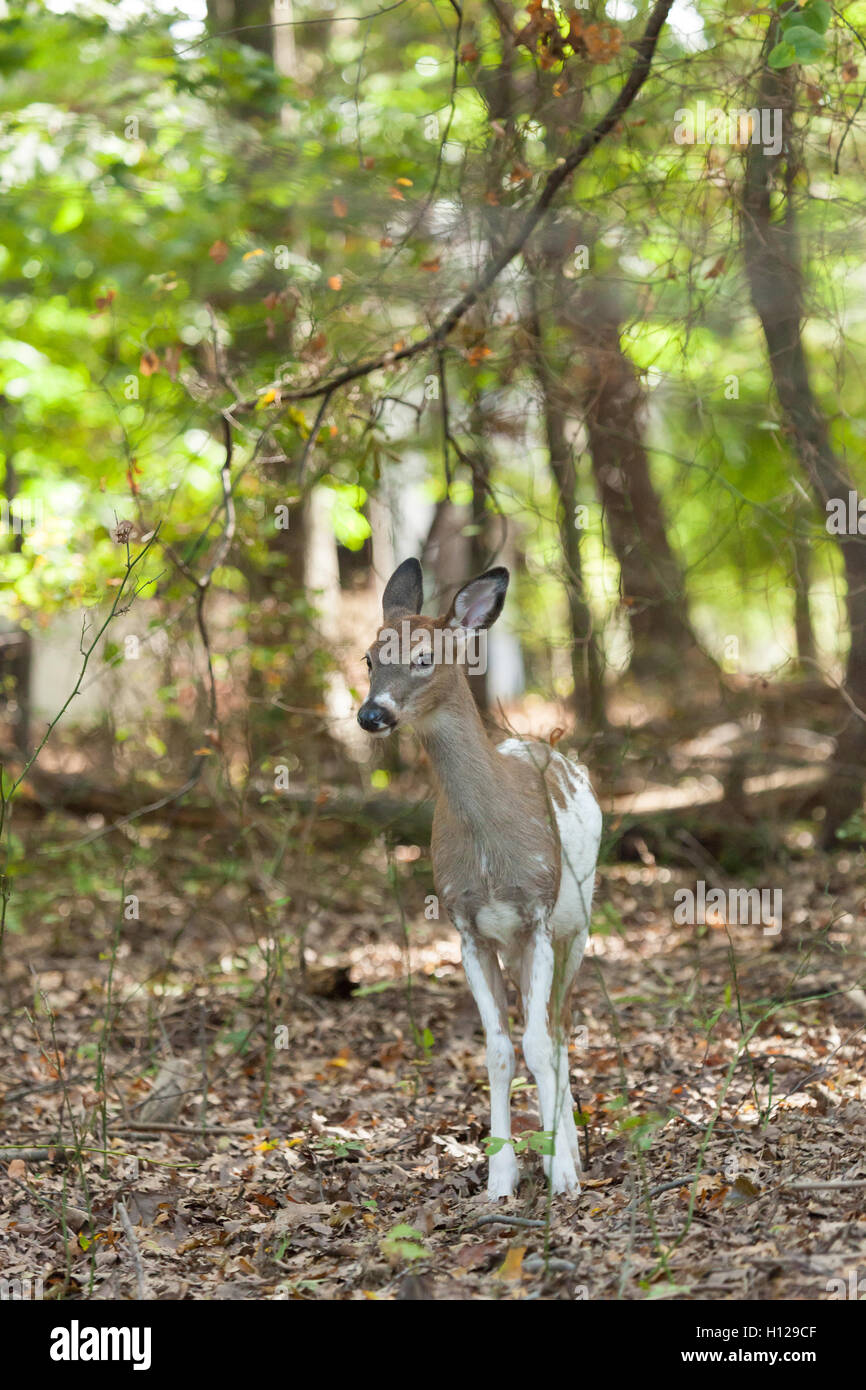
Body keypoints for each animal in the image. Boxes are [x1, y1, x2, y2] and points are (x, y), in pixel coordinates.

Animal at [358, 558, 602, 1199]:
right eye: (368, 657)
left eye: (423, 657)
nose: (372, 714)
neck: (490, 852)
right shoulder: (467, 927)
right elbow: (497, 1052)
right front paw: (501, 1177)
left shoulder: (537, 914)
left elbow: (538, 1044)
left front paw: (561, 1175)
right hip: (516, 946)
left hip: (577, 925)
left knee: (560, 1029)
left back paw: (570, 1153)